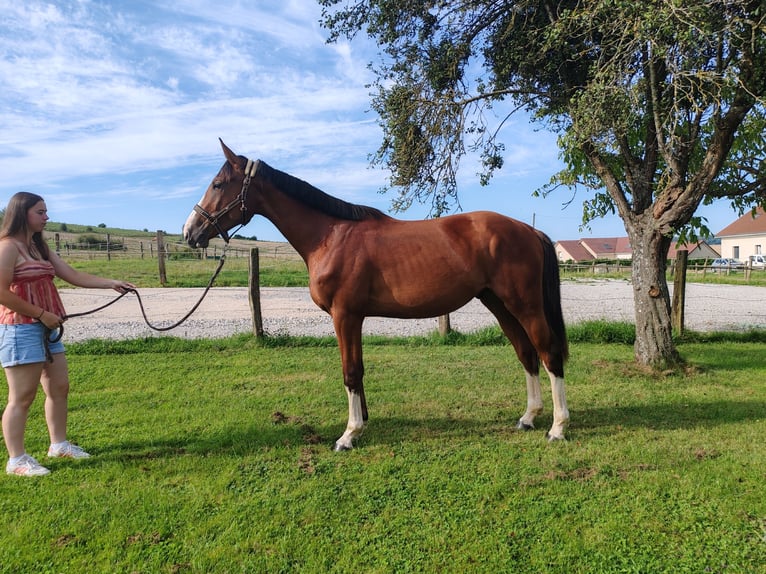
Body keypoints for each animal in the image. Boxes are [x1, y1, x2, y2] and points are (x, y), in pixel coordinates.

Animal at [184, 138, 568, 450]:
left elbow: (351, 372)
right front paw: (362, 424)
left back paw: (558, 427)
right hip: (499, 304)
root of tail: (529, 230)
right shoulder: (352, 317)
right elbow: (358, 370)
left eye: (218, 184)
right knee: (526, 354)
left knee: (547, 352)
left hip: (524, 304)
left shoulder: (345, 315)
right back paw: (529, 418)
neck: (330, 236)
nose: (190, 232)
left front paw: (348, 435)